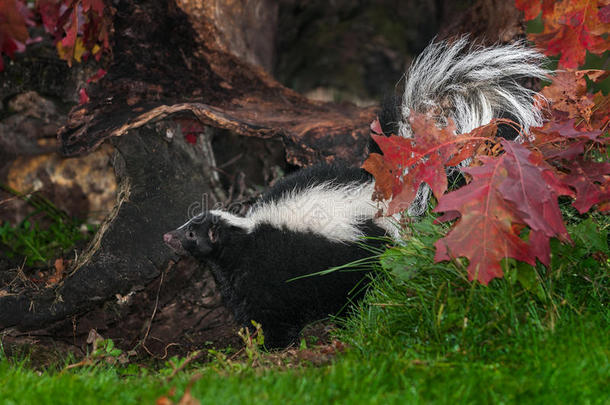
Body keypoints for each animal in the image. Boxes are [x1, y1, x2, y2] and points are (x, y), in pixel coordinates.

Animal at [163, 38, 548, 348]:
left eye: (192, 233)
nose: (168, 236)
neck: (242, 236)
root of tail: (383, 193)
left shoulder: (266, 274)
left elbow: (272, 313)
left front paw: (274, 345)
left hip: (360, 252)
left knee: (360, 288)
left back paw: (349, 318)